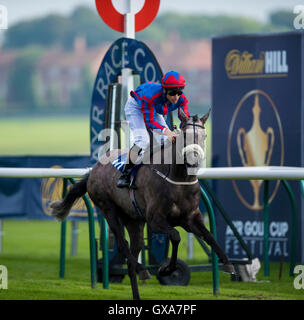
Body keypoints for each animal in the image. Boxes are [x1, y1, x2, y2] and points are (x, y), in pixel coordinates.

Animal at [50, 110, 235, 300]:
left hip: (134, 221)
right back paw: (143, 270)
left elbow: (209, 236)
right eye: (184, 135)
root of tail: (94, 169)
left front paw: (227, 263)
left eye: (204, 136)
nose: (194, 160)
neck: (178, 179)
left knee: (132, 253)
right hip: (108, 209)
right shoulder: (155, 220)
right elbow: (175, 236)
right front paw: (167, 269)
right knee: (122, 244)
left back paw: (137, 291)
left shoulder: (190, 218)